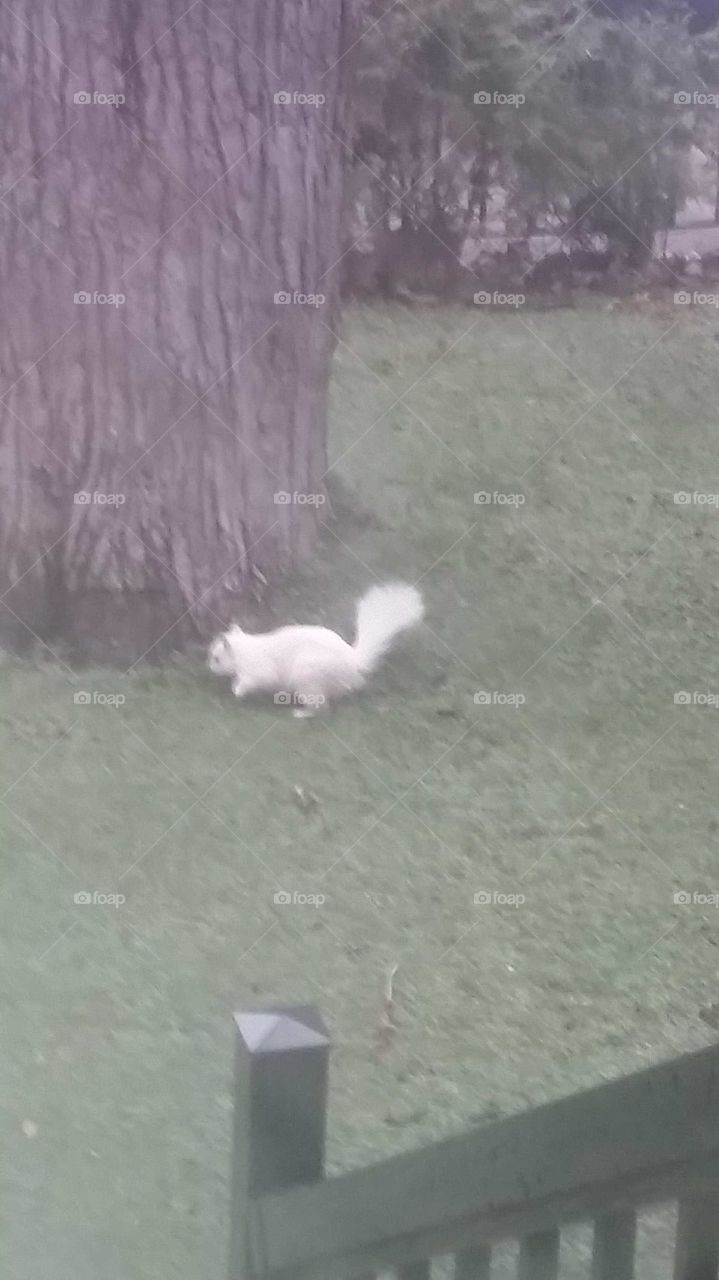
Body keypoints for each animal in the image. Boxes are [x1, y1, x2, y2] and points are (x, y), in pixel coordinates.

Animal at [205, 583, 419, 716]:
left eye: (216, 658)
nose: (210, 668)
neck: (243, 651)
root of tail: (354, 661)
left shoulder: (259, 670)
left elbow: (253, 680)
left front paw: (237, 690)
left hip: (308, 679)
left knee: (320, 708)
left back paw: (301, 713)